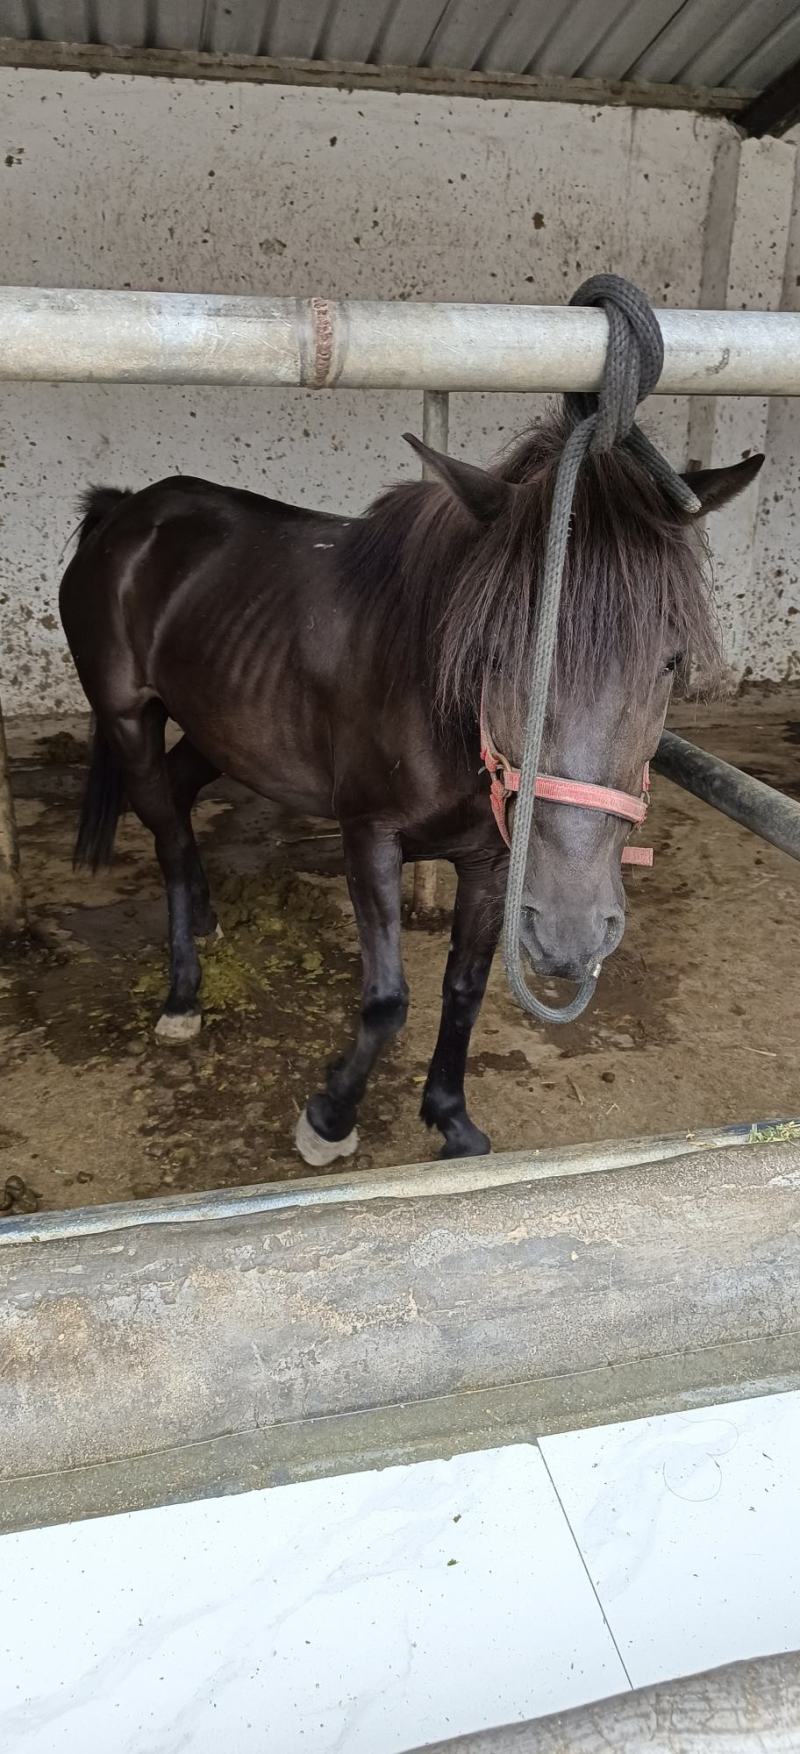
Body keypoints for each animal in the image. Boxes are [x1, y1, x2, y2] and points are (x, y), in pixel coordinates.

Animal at [58, 409, 762, 1165]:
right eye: (493, 652)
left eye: (671, 660)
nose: (571, 932)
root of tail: (123, 512)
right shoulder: (370, 835)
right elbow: (388, 998)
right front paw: (329, 1119)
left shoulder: (493, 862)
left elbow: (466, 987)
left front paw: (450, 1117)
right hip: (128, 720)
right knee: (163, 829)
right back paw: (183, 998)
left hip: (220, 727)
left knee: (182, 803)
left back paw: (208, 922)